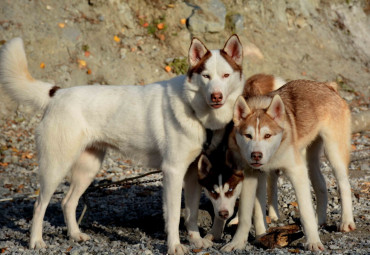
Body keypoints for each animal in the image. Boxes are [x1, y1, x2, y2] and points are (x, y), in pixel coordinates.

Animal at [0, 34, 246, 254]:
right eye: (206, 76)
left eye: (225, 75)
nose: (216, 96)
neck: (193, 108)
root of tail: (56, 94)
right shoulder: (173, 172)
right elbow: (175, 214)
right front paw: (175, 246)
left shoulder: (192, 174)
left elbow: (192, 211)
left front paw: (196, 240)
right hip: (55, 167)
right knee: (39, 205)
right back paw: (36, 241)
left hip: (88, 169)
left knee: (68, 202)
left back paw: (75, 235)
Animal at [223, 80, 356, 252]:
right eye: (248, 135)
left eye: (267, 135)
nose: (256, 155)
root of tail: (328, 86)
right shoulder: (251, 175)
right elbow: (246, 214)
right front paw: (237, 243)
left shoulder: (297, 172)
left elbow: (305, 212)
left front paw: (313, 242)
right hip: (310, 161)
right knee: (321, 185)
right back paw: (319, 220)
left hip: (333, 153)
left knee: (344, 185)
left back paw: (346, 222)